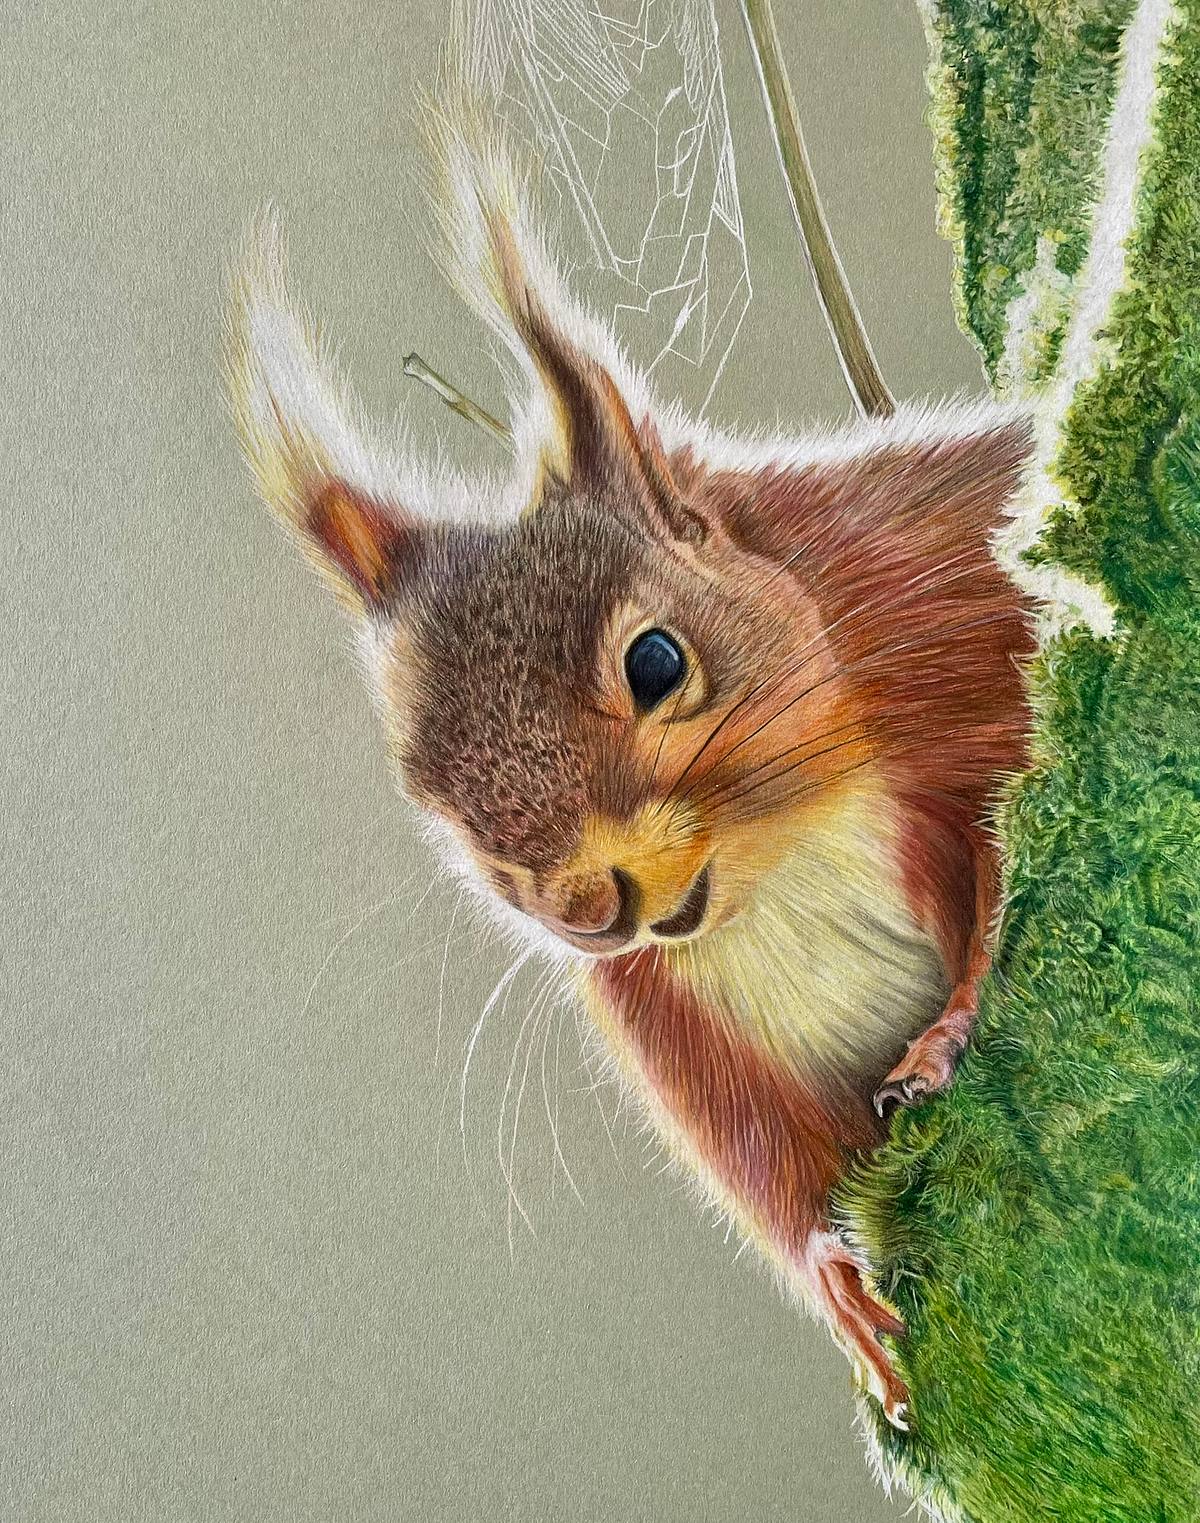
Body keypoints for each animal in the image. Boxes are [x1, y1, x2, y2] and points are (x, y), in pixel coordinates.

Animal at [225, 128, 1035, 1431]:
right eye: (444, 816)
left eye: (656, 660)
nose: (590, 910)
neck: (780, 861)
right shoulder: (671, 1027)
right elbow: (760, 1158)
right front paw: (833, 1274)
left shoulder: (963, 661)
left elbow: (1002, 861)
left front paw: (950, 1025)